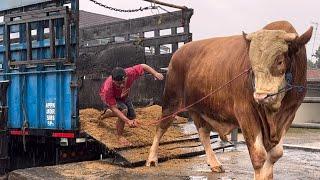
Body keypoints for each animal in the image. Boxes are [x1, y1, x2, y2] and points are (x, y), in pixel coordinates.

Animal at [147, 21, 312, 180]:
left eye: (279, 61)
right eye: (251, 64)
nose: (261, 96)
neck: (273, 114)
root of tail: (180, 51)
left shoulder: (289, 114)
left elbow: (275, 154)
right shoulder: (245, 113)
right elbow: (259, 155)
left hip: (198, 108)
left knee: (203, 132)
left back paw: (214, 163)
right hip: (172, 101)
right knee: (161, 127)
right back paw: (152, 159)